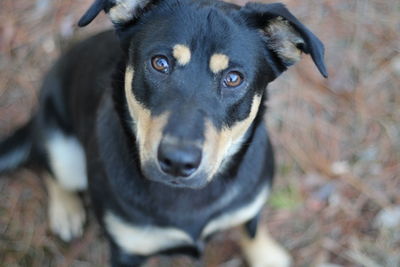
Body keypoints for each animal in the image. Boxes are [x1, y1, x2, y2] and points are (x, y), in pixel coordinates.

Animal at [0, 0, 324, 266]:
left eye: (233, 78)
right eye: (160, 63)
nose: (178, 162)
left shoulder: (250, 202)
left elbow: (251, 228)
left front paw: (265, 255)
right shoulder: (127, 251)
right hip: (61, 147)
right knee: (51, 169)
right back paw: (65, 211)